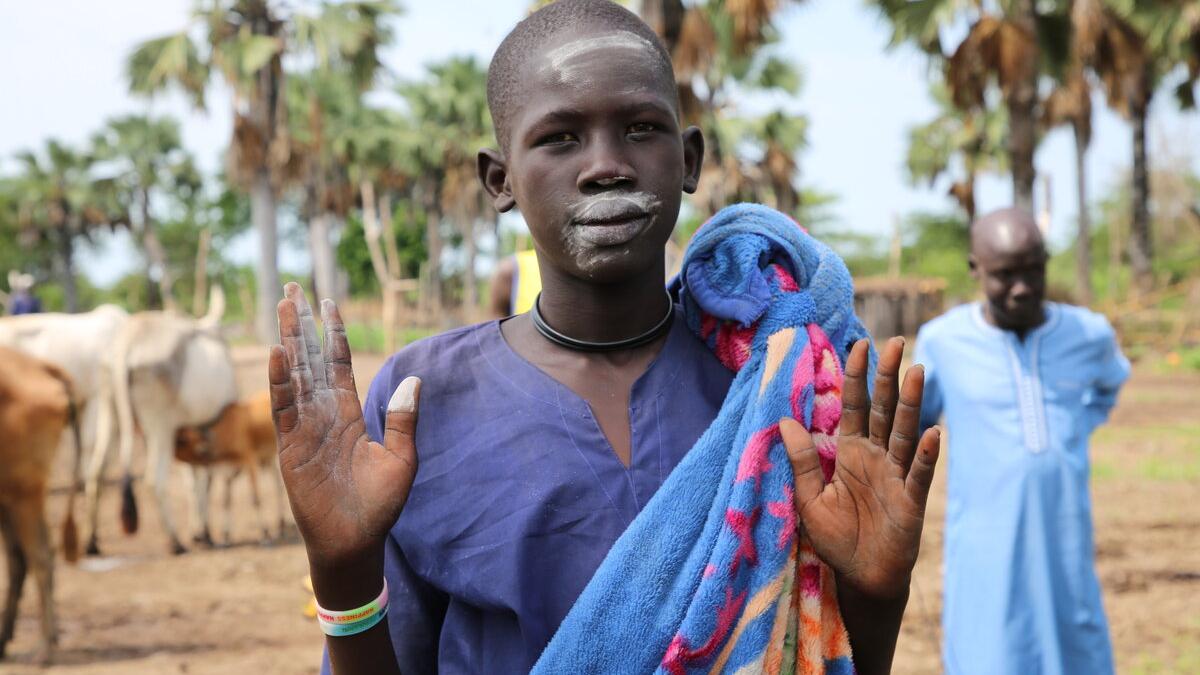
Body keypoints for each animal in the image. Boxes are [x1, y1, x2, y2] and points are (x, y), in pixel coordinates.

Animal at [0, 346, 82, 665]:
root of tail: (40, 366)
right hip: (13, 496)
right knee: (22, 559)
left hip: (24, 493)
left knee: (39, 557)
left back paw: (45, 649)